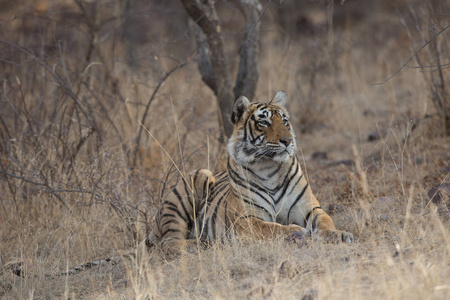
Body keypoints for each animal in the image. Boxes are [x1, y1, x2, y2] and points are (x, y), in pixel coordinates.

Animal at [146, 91, 354, 255]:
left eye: (285, 121)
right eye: (264, 122)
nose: (288, 141)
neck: (269, 167)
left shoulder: (309, 209)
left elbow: (326, 221)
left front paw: (340, 235)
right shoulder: (246, 220)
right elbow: (271, 228)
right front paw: (296, 231)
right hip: (196, 179)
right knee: (168, 242)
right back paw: (200, 244)